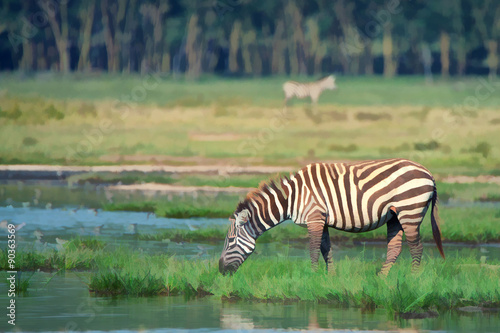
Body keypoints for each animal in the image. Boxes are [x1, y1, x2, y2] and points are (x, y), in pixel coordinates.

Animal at [219, 158, 446, 274]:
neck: (293, 198)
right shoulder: (322, 219)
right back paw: (382, 280)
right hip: (395, 216)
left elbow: (312, 249)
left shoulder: (314, 217)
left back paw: (414, 278)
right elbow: (325, 248)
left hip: (410, 210)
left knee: (416, 247)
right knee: (395, 248)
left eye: (230, 241)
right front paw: (330, 278)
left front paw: (312, 277)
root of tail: (429, 173)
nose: (220, 270)